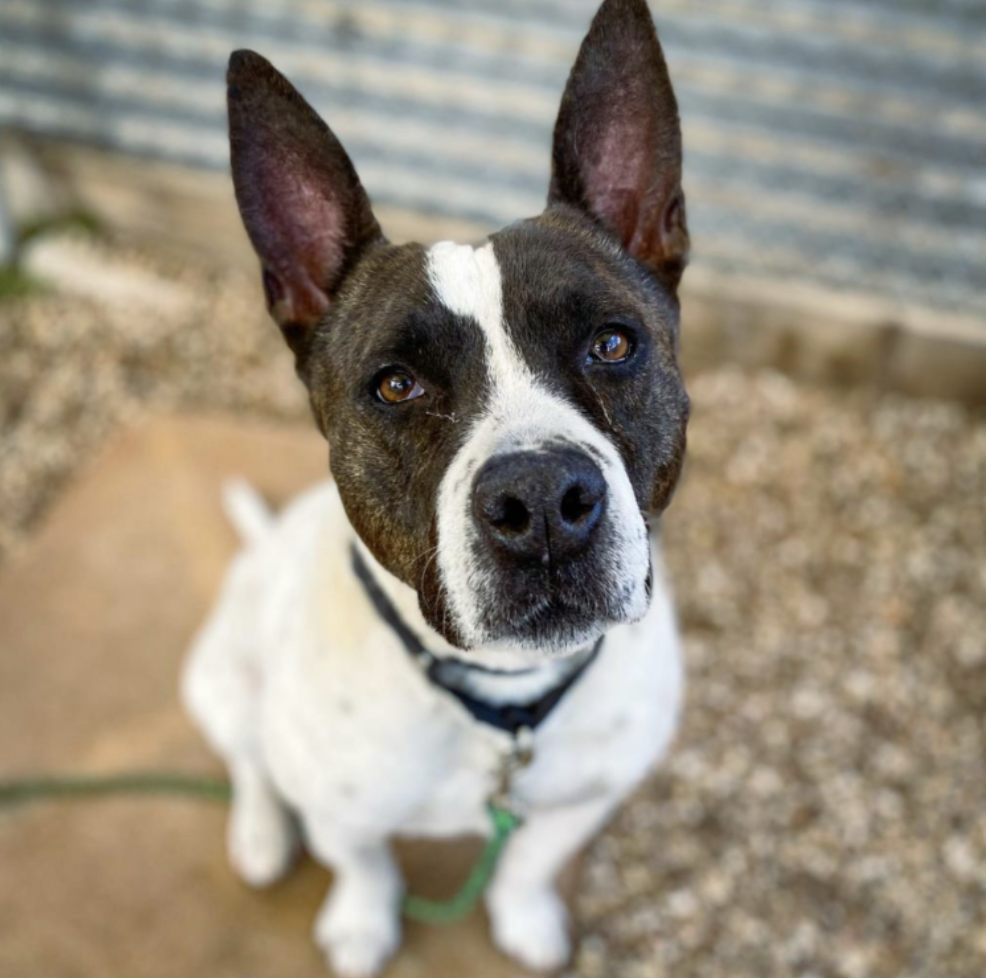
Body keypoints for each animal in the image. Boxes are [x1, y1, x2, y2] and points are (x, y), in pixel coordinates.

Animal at [184, 3, 688, 972]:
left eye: (613, 343)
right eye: (396, 385)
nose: (542, 504)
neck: (501, 700)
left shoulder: (586, 798)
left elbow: (529, 860)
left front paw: (525, 919)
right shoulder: (342, 811)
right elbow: (364, 866)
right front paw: (361, 927)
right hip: (219, 679)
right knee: (252, 761)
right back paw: (261, 834)